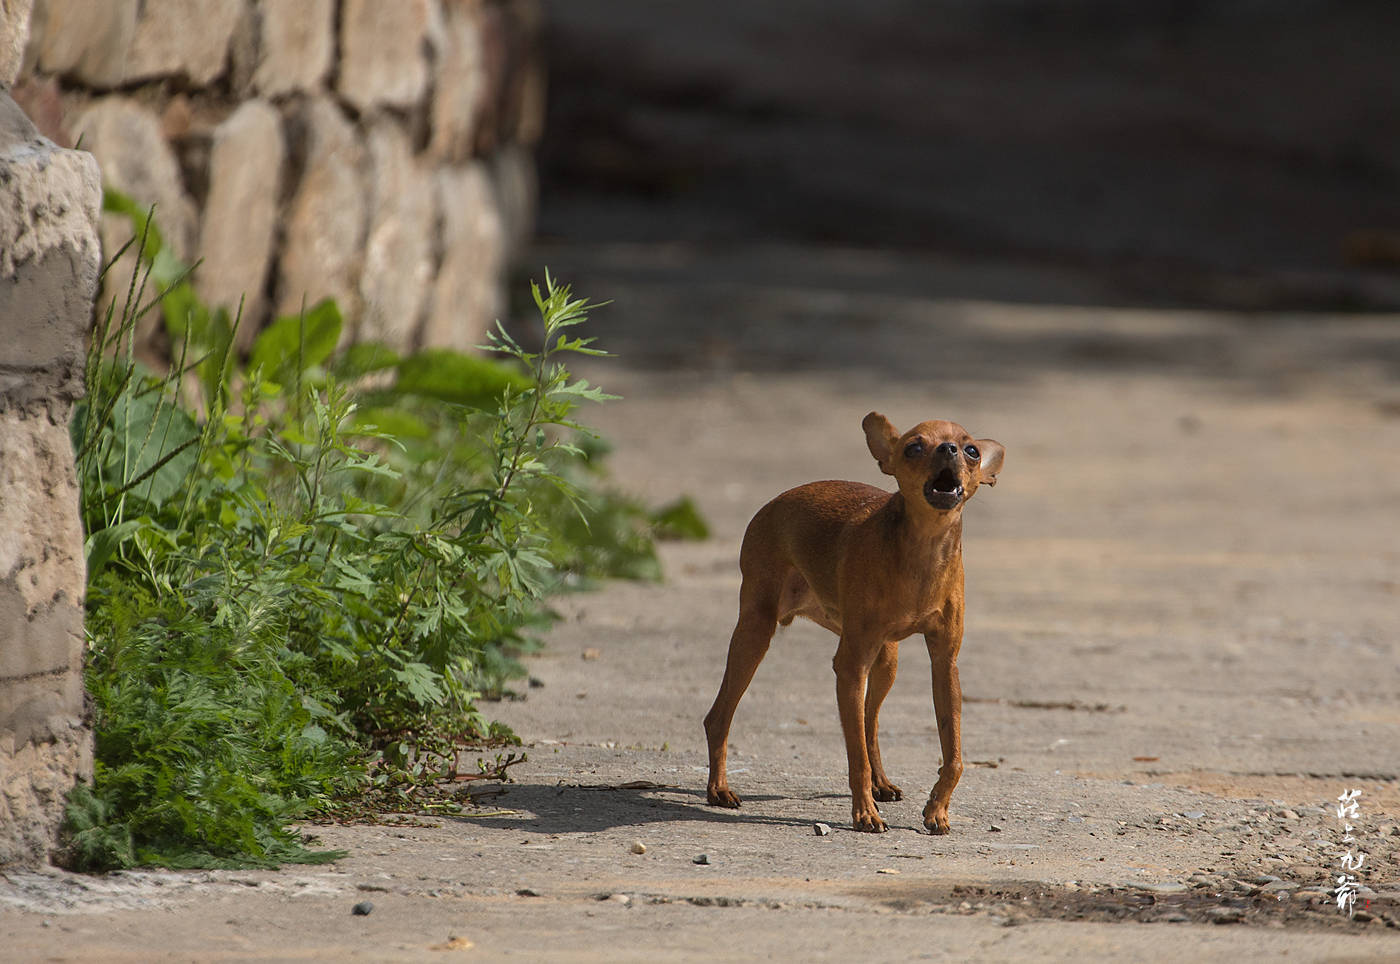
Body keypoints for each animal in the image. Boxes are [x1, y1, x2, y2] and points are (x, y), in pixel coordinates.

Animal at [705, 408, 1002, 828]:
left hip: (886, 661)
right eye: (913, 448)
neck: (923, 552)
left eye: (972, 451)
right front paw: (864, 814)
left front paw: (936, 809)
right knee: (719, 716)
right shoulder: (850, 664)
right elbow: (855, 756)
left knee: (869, 722)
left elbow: (954, 755)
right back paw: (719, 788)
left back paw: (882, 783)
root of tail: (775, 501)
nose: (948, 449)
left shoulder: (944, 665)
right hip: (755, 634)